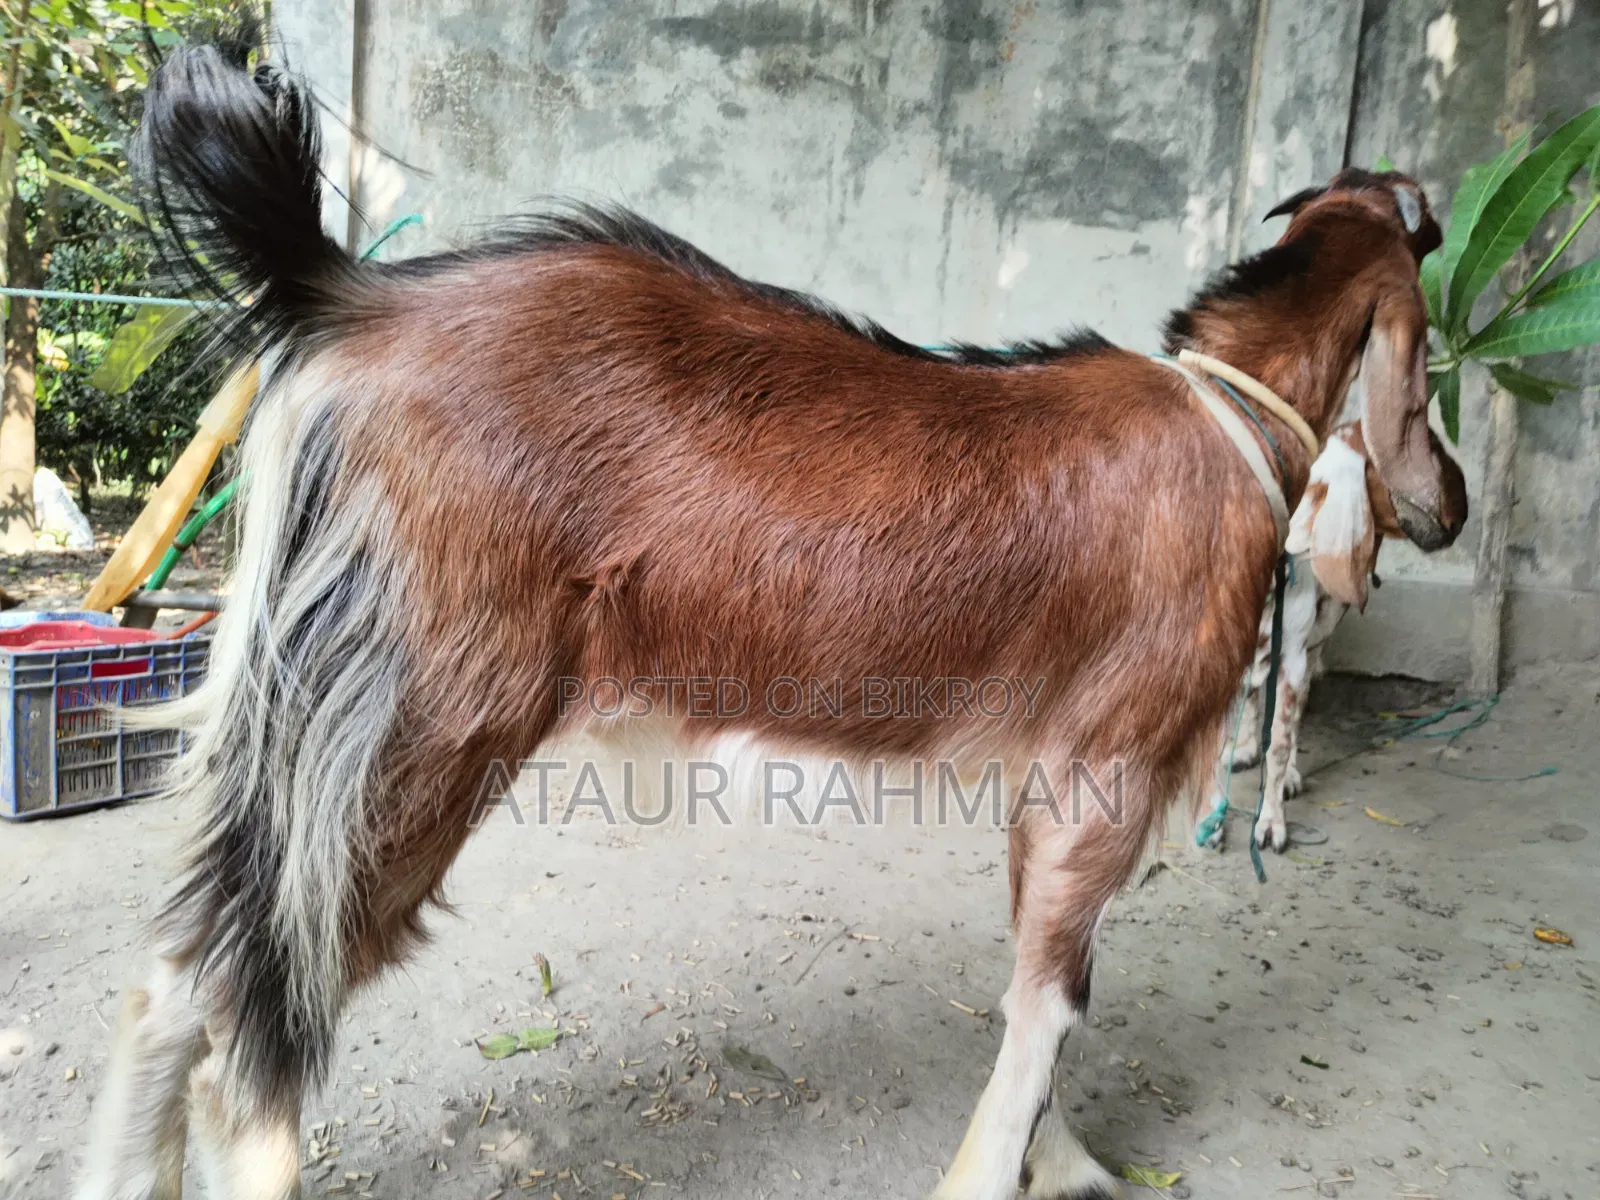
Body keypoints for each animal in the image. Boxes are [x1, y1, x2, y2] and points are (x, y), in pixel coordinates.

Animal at [1218, 422, 1464, 853]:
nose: (1461, 511)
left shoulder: (1296, 657)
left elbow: (1280, 741)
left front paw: (1270, 822)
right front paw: (1210, 819)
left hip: (1313, 643)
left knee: (1291, 718)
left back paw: (1288, 775)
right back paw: (1245, 748)